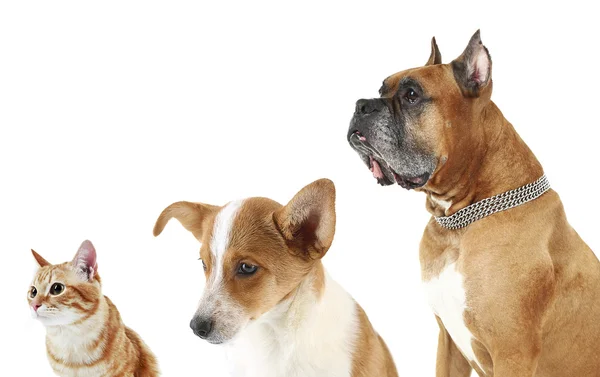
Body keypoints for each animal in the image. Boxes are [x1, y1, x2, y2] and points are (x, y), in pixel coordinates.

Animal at [346, 30, 600, 374]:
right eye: (380, 90)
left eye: (412, 94)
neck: (459, 221)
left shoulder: (512, 355)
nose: (361, 106)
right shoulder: (448, 342)